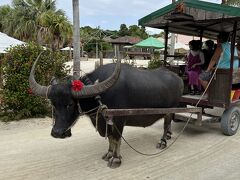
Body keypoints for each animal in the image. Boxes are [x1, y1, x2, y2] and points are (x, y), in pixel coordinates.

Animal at [30, 53, 184, 167]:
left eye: (70, 104)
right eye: (53, 104)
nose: (57, 133)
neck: (100, 96)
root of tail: (178, 79)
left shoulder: (119, 120)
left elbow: (116, 139)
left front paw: (116, 159)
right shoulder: (105, 120)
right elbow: (110, 138)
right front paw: (109, 154)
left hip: (170, 109)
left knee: (166, 123)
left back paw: (163, 141)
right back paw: (168, 136)